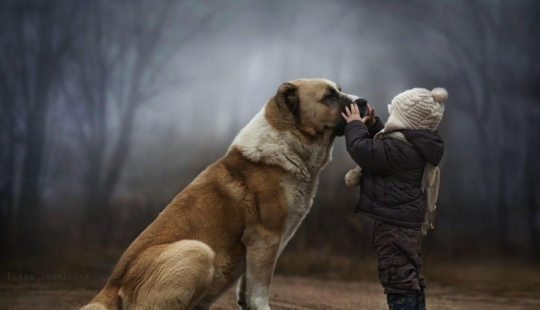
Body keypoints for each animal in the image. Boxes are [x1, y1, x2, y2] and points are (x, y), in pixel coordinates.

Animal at [79, 78, 350, 310]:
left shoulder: (259, 247)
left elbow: (247, 286)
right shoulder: (266, 238)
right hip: (198, 252)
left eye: (339, 90)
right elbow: (261, 289)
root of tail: (110, 286)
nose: (360, 102)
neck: (289, 142)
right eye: (329, 96)